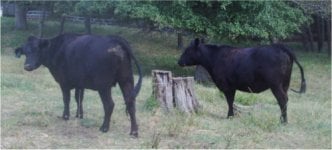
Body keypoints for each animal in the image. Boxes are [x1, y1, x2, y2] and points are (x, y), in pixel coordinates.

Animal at [14, 33, 142, 137]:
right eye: (25, 52)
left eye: (37, 49)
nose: (27, 66)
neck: (56, 49)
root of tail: (115, 39)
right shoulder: (80, 83)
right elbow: (79, 98)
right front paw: (79, 115)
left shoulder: (64, 82)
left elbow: (66, 99)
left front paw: (65, 116)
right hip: (126, 80)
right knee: (131, 104)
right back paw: (134, 132)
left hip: (104, 85)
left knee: (109, 104)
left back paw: (104, 128)